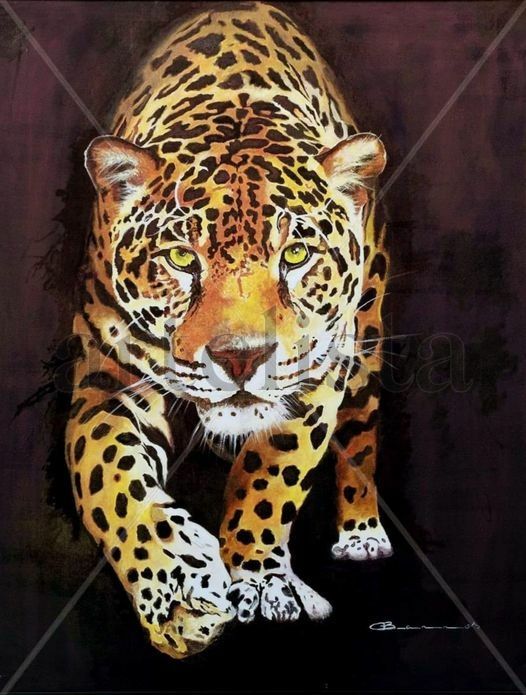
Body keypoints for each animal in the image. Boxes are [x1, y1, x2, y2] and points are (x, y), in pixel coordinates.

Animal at [65, 1, 393, 659]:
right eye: (181, 259)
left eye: (295, 255)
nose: (242, 359)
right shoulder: (106, 381)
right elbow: (110, 478)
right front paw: (178, 591)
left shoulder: (314, 377)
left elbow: (271, 474)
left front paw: (261, 582)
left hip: (367, 341)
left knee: (362, 436)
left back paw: (363, 533)